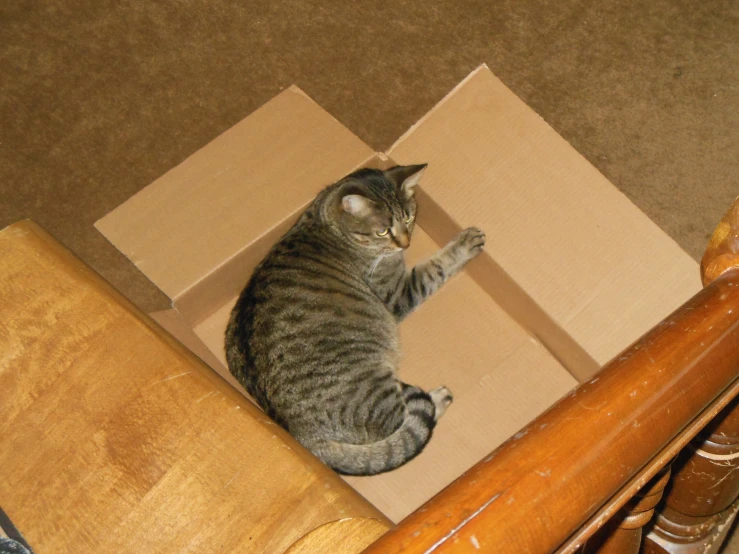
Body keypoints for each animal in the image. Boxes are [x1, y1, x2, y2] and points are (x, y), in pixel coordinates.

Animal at [225, 164, 486, 474]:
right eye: (382, 230)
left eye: (409, 218)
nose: (405, 243)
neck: (329, 224)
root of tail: (304, 438)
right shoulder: (400, 293)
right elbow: (435, 267)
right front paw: (465, 243)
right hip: (377, 387)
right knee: (406, 419)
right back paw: (438, 397)